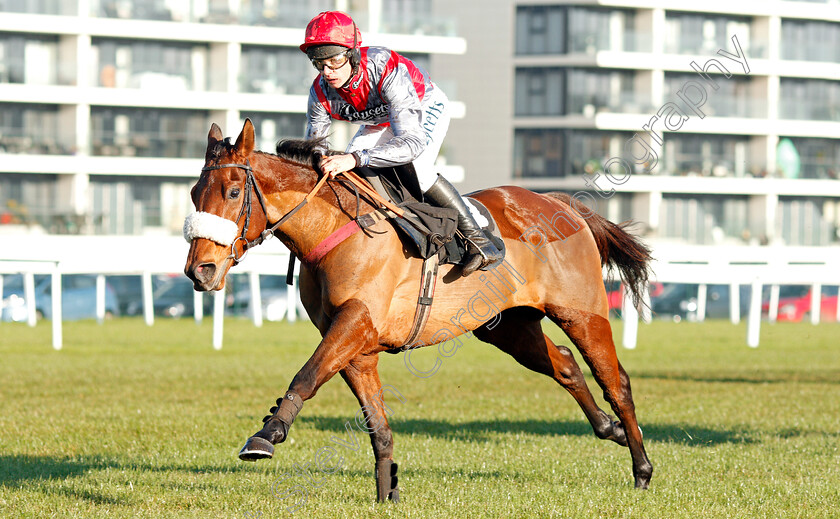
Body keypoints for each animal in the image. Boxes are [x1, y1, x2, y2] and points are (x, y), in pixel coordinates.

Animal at [184, 120, 656, 502]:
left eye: (233, 192)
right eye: (193, 194)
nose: (199, 270)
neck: (337, 227)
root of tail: (561, 203)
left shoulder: (356, 322)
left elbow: (306, 375)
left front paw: (266, 434)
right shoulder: (356, 346)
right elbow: (376, 422)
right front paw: (386, 489)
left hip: (582, 313)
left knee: (617, 382)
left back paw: (642, 469)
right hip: (508, 328)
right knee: (566, 365)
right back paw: (609, 429)